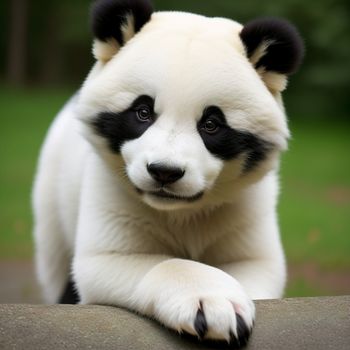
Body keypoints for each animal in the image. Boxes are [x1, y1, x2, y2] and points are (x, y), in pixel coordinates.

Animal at [31, 0, 302, 346]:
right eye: (143, 112)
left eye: (211, 124)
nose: (164, 172)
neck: (179, 210)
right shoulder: (110, 194)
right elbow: (118, 261)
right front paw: (211, 306)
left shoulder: (245, 210)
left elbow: (253, 266)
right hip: (53, 197)